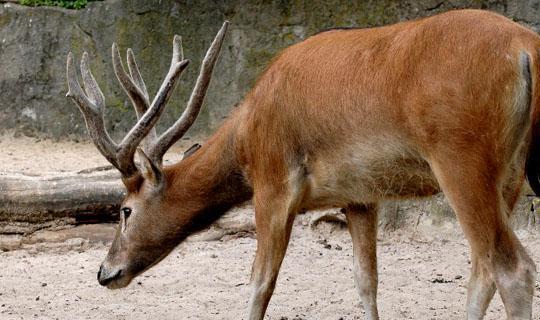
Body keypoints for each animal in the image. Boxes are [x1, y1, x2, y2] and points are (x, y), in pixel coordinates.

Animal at [66, 10, 540, 320]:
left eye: (124, 210)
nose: (105, 272)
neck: (246, 138)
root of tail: (526, 48)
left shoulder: (274, 182)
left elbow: (260, 283)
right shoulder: (360, 195)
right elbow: (366, 282)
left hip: (462, 157)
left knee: (511, 267)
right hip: (511, 171)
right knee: (482, 268)